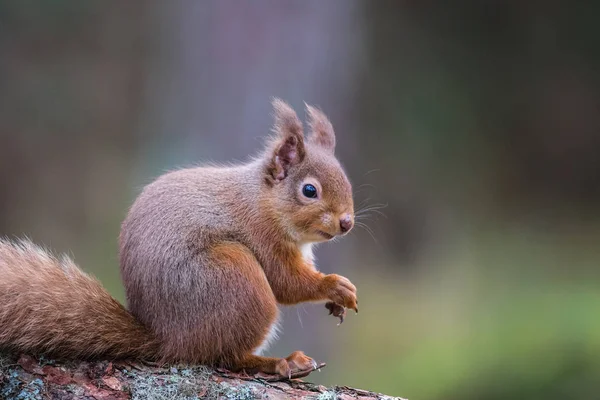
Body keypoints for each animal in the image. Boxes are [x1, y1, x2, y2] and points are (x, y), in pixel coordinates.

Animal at [0, 99, 356, 378]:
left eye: (347, 181)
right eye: (309, 190)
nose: (347, 223)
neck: (263, 200)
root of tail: (168, 339)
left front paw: (335, 303)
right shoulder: (262, 237)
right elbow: (287, 283)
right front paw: (335, 286)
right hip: (238, 279)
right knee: (228, 356)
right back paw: (280, 363)